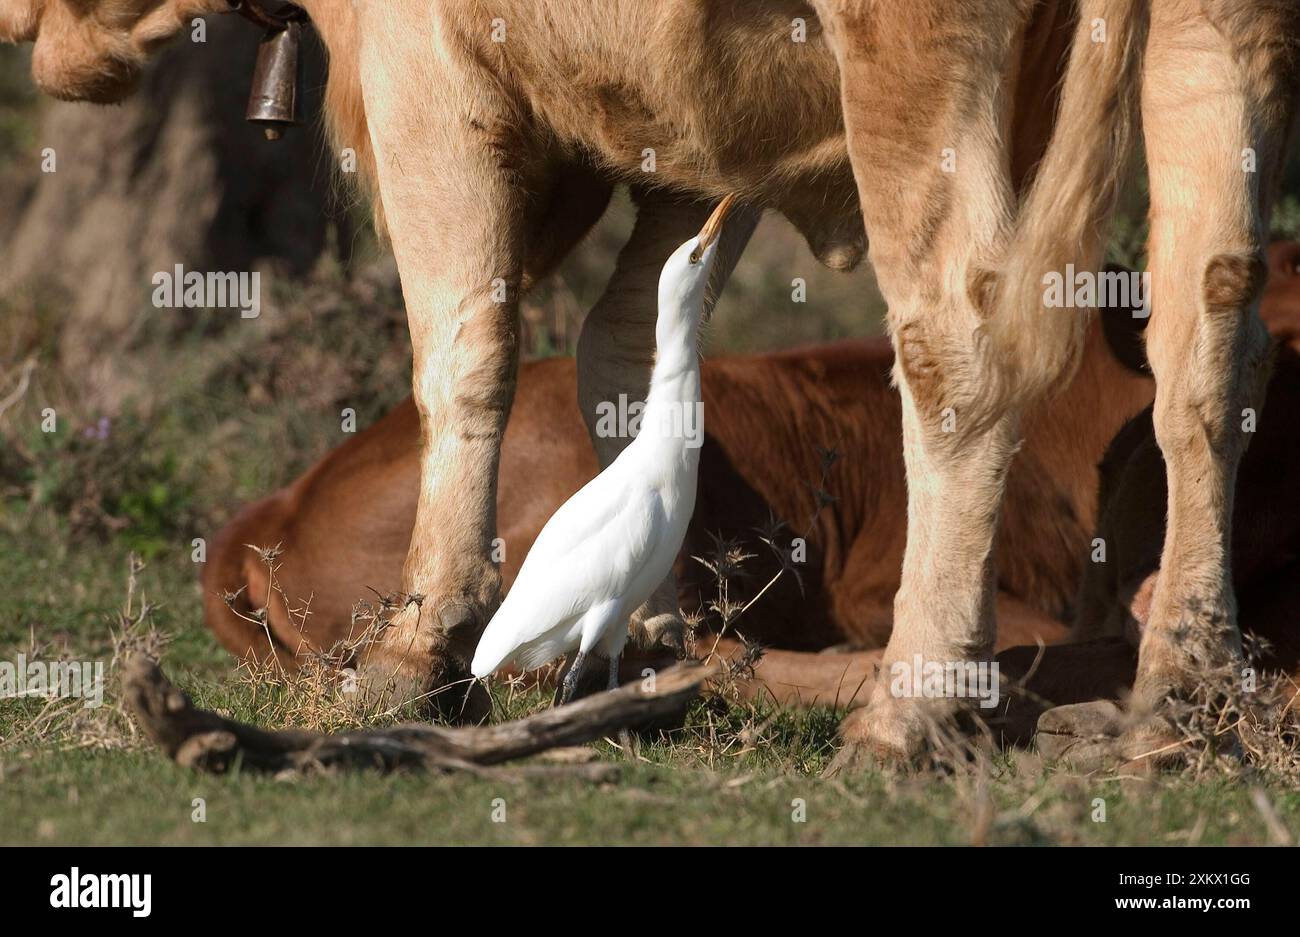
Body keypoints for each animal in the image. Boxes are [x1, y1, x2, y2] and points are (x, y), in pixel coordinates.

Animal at [5, 0, 1294, 764]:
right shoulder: (694, 133)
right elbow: (627, 339)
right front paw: (650, 624)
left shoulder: (424, 64)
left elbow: (465, 345)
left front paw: (421, 648)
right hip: (1216, 42)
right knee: (1209, 339)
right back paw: (1180, 687)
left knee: (959, 340)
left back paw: (914, 702)